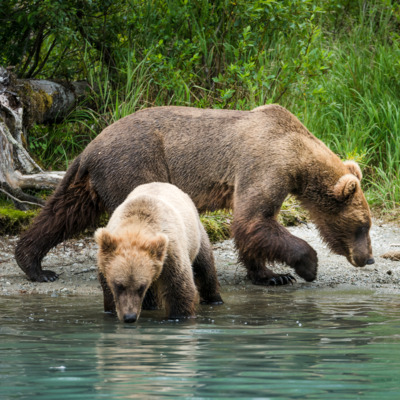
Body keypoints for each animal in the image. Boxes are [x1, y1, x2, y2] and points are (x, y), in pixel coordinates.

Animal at [14, 104, 374, 282]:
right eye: (363, 226)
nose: (368, 257)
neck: (297, 157)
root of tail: (90, 147)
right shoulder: (264, 164)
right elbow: (254, 220)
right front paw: (307, 266)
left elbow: (252, 227)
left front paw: (270, 276)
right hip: (134, 165)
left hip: (89, 182)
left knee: (62, 213)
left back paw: (35, 266)